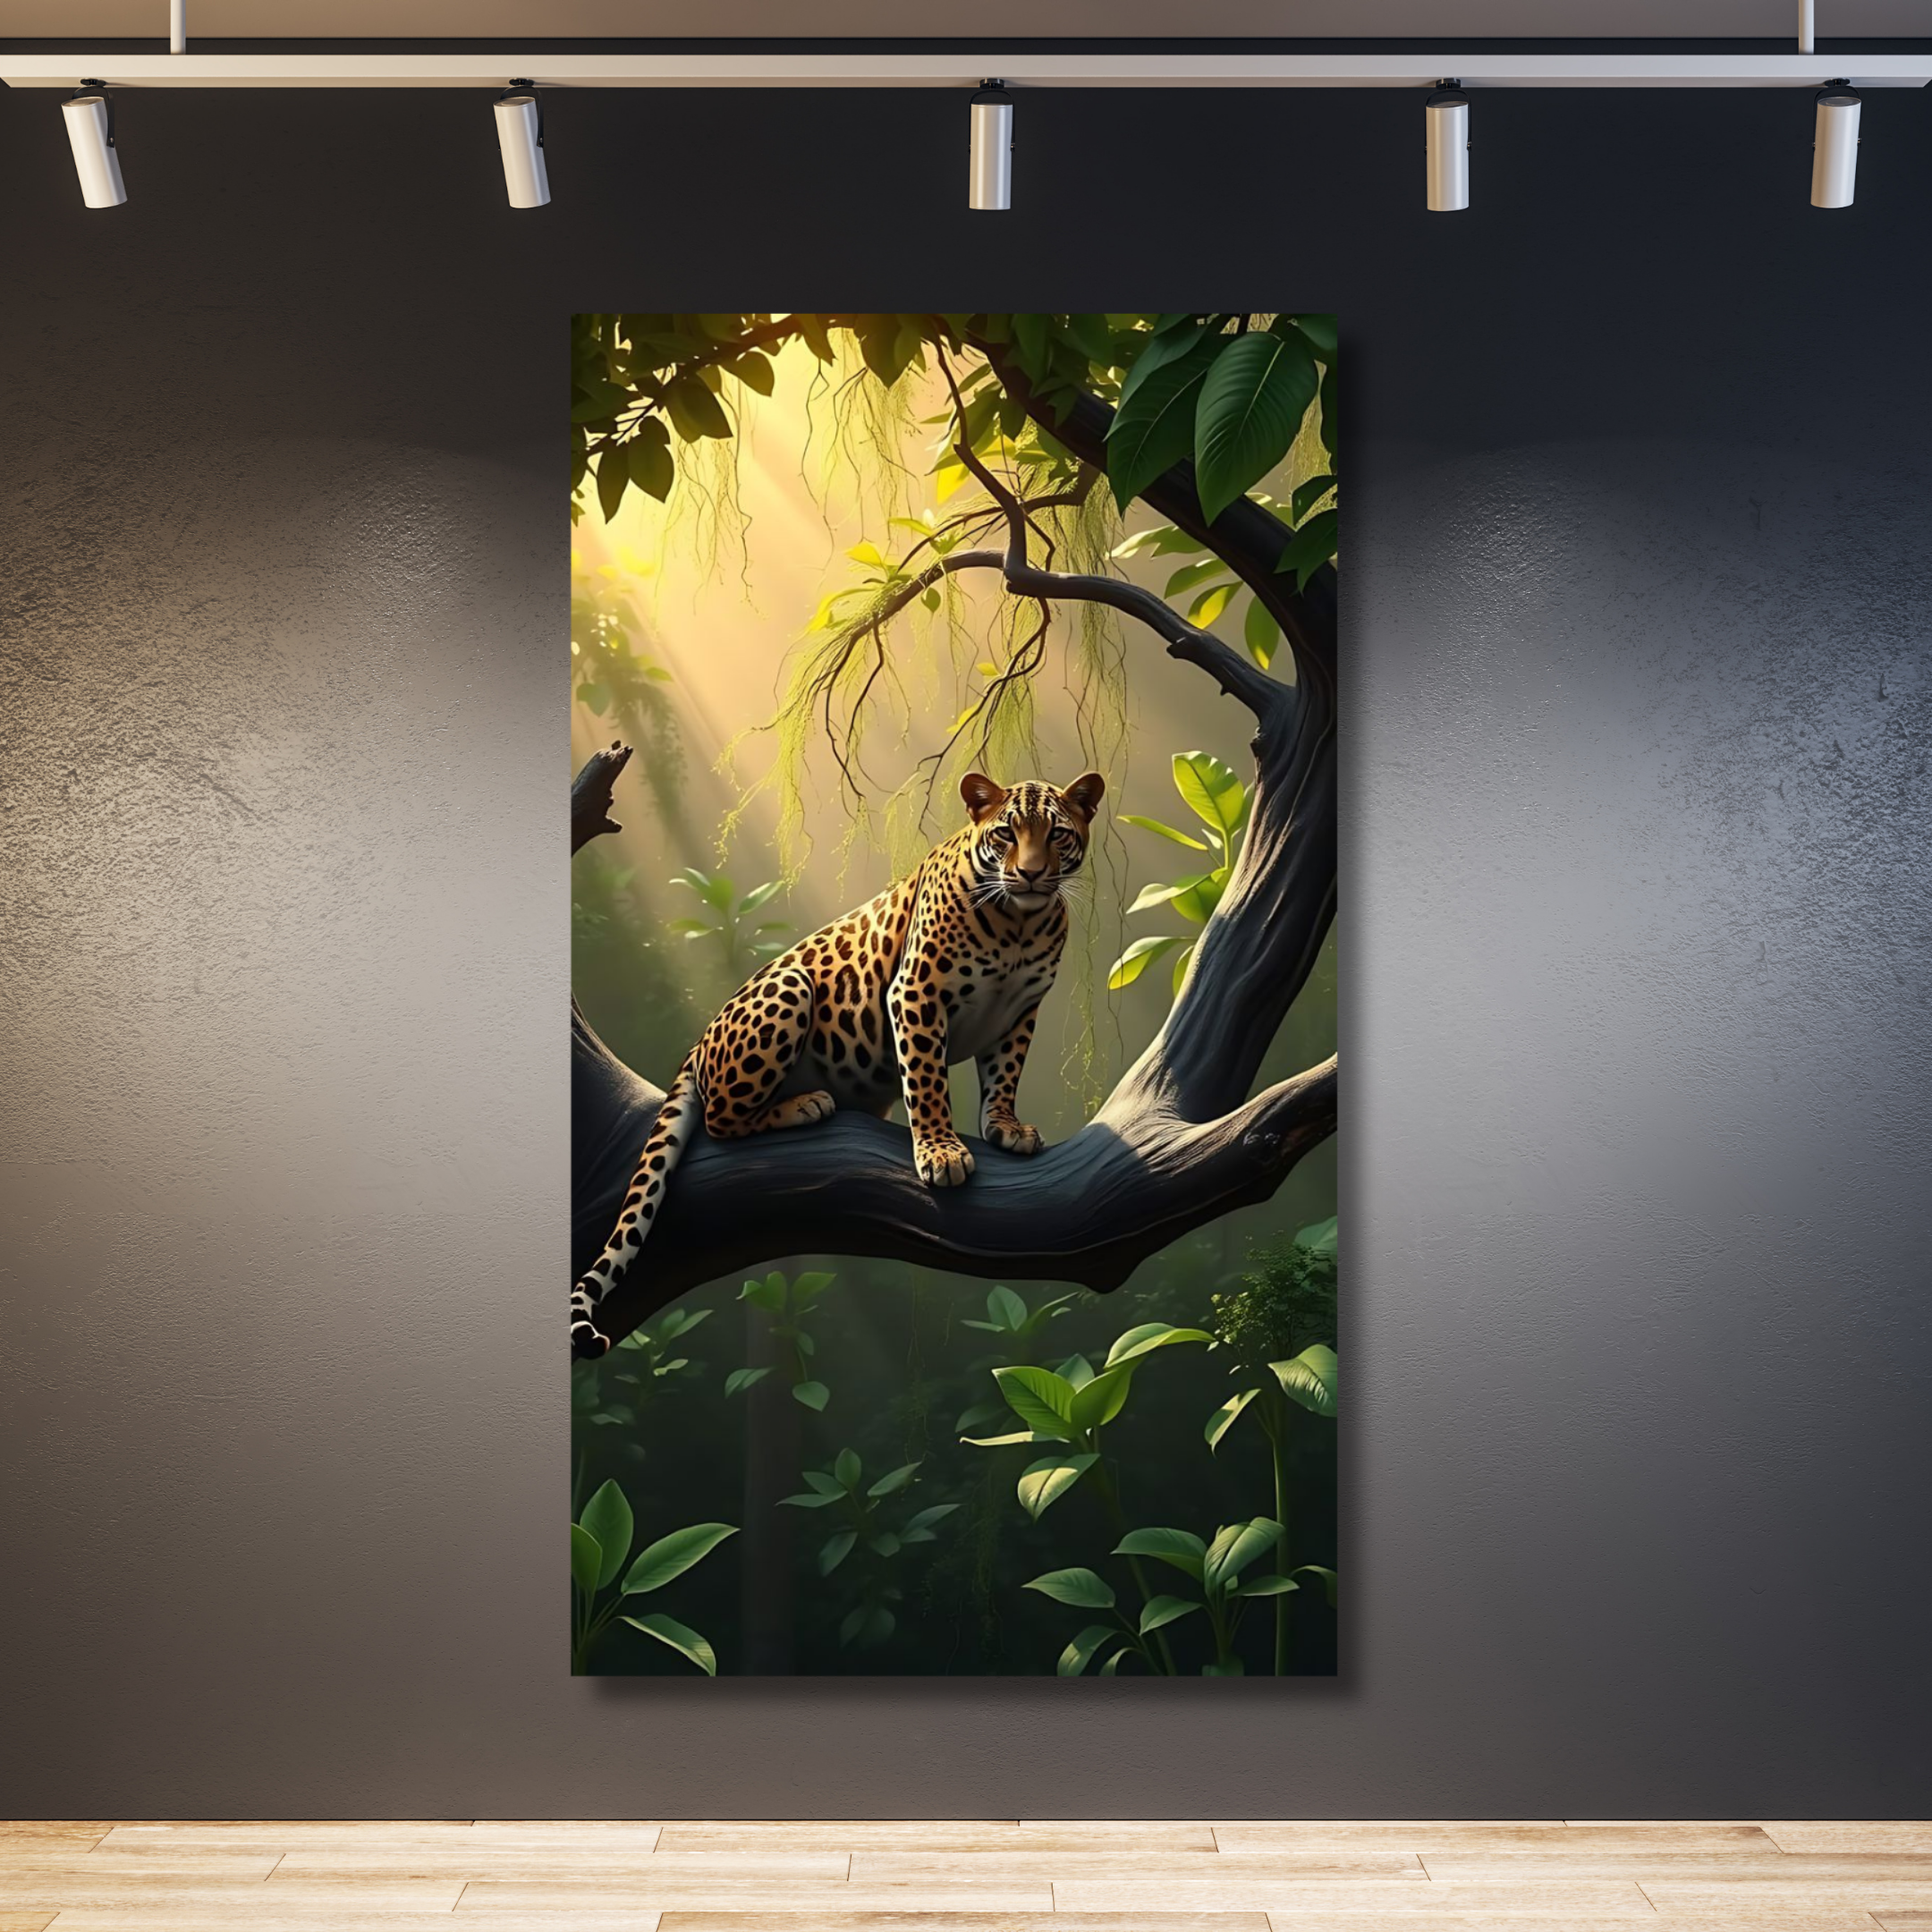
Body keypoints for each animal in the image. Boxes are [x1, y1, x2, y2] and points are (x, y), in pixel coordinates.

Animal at [570, 768, 1106, 1359]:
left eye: (1057, 835)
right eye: (1007, 834)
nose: (1031, 874)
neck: (1018, 925)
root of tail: (700, 1040)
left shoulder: (1019, 1011)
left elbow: (1004, 1076)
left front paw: (1005, 1126)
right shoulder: (915, 992)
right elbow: (928, 1083)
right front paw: (941, 1153)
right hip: (790, 986)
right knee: (720, 1118)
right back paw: (806, 1104)